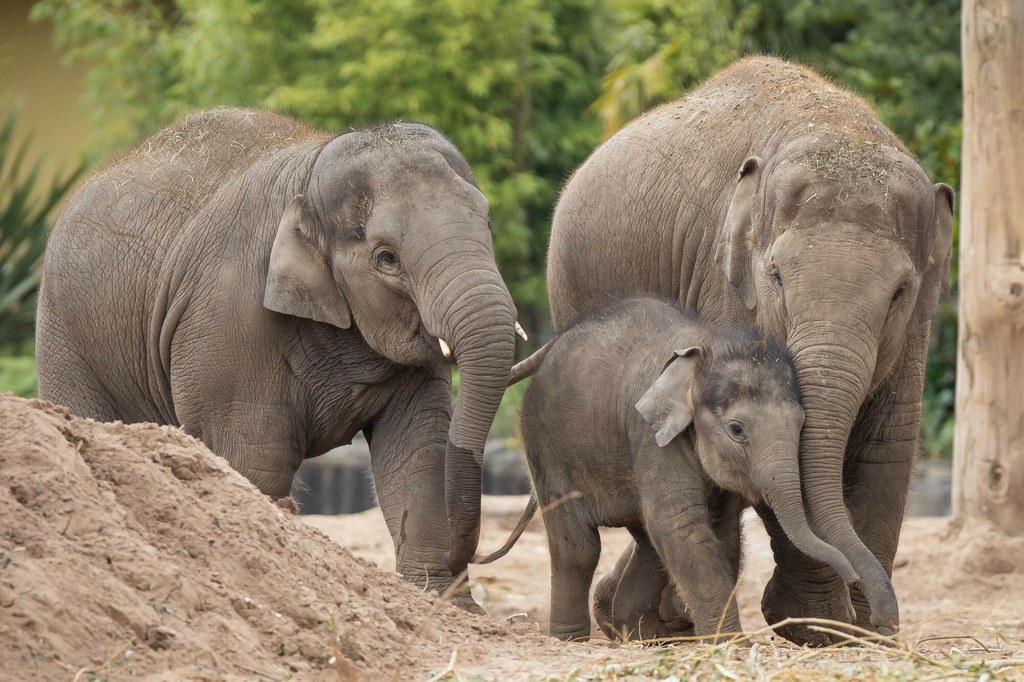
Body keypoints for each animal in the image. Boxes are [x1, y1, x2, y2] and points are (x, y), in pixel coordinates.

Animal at [37, 106, 520, 602]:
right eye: (387, 258)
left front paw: (447, 604)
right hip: (67, 336)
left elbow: (417, 446)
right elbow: (254, 456)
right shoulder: (227, 319)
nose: (463, 557)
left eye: (487, 223)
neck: (311, 168)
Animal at [477, 296, 856, 638]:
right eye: (737, 430)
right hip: (547, 449)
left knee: (647, 543)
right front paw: (727, 642)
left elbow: (721, 531)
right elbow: (680, 524)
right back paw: (571, 639)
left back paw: (643, 634)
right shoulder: (651, 436)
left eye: (801, 423)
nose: (854, 577)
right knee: (579, 547)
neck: (706, 349)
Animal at [548, 58, 954, 643]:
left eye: (900, 291)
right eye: (776, 276)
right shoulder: (724, 288)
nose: (884, 614)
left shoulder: (915, 328)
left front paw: (860, 632)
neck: (838, 127)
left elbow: (887, 448)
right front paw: (818, 625)